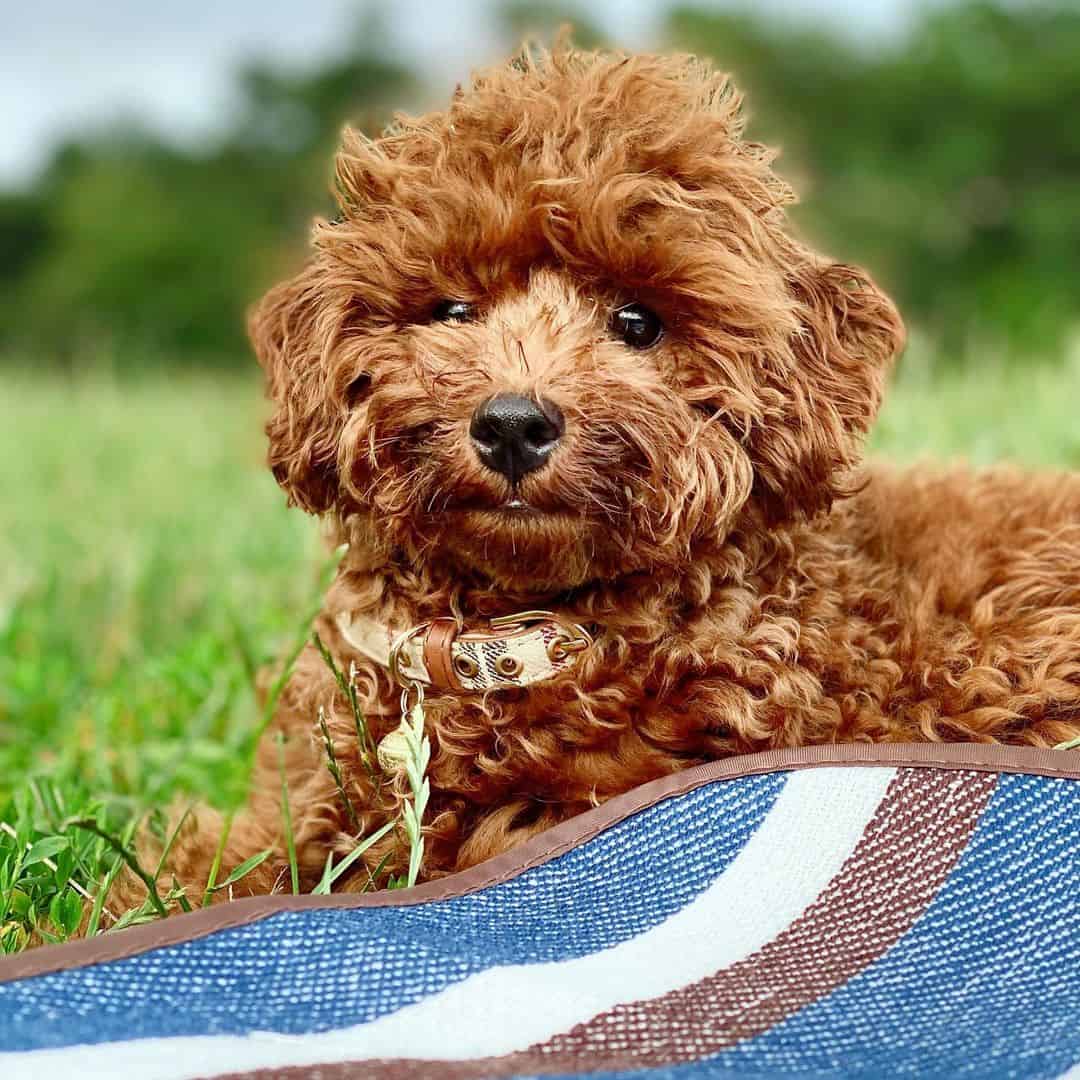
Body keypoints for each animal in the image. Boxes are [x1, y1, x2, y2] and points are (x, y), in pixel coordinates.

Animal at [143, 46, 1080, 898]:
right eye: (451, 310)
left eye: (637, 322)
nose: (512, 425)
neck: (514, 643)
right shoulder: (303, 803)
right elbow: (196, 865)